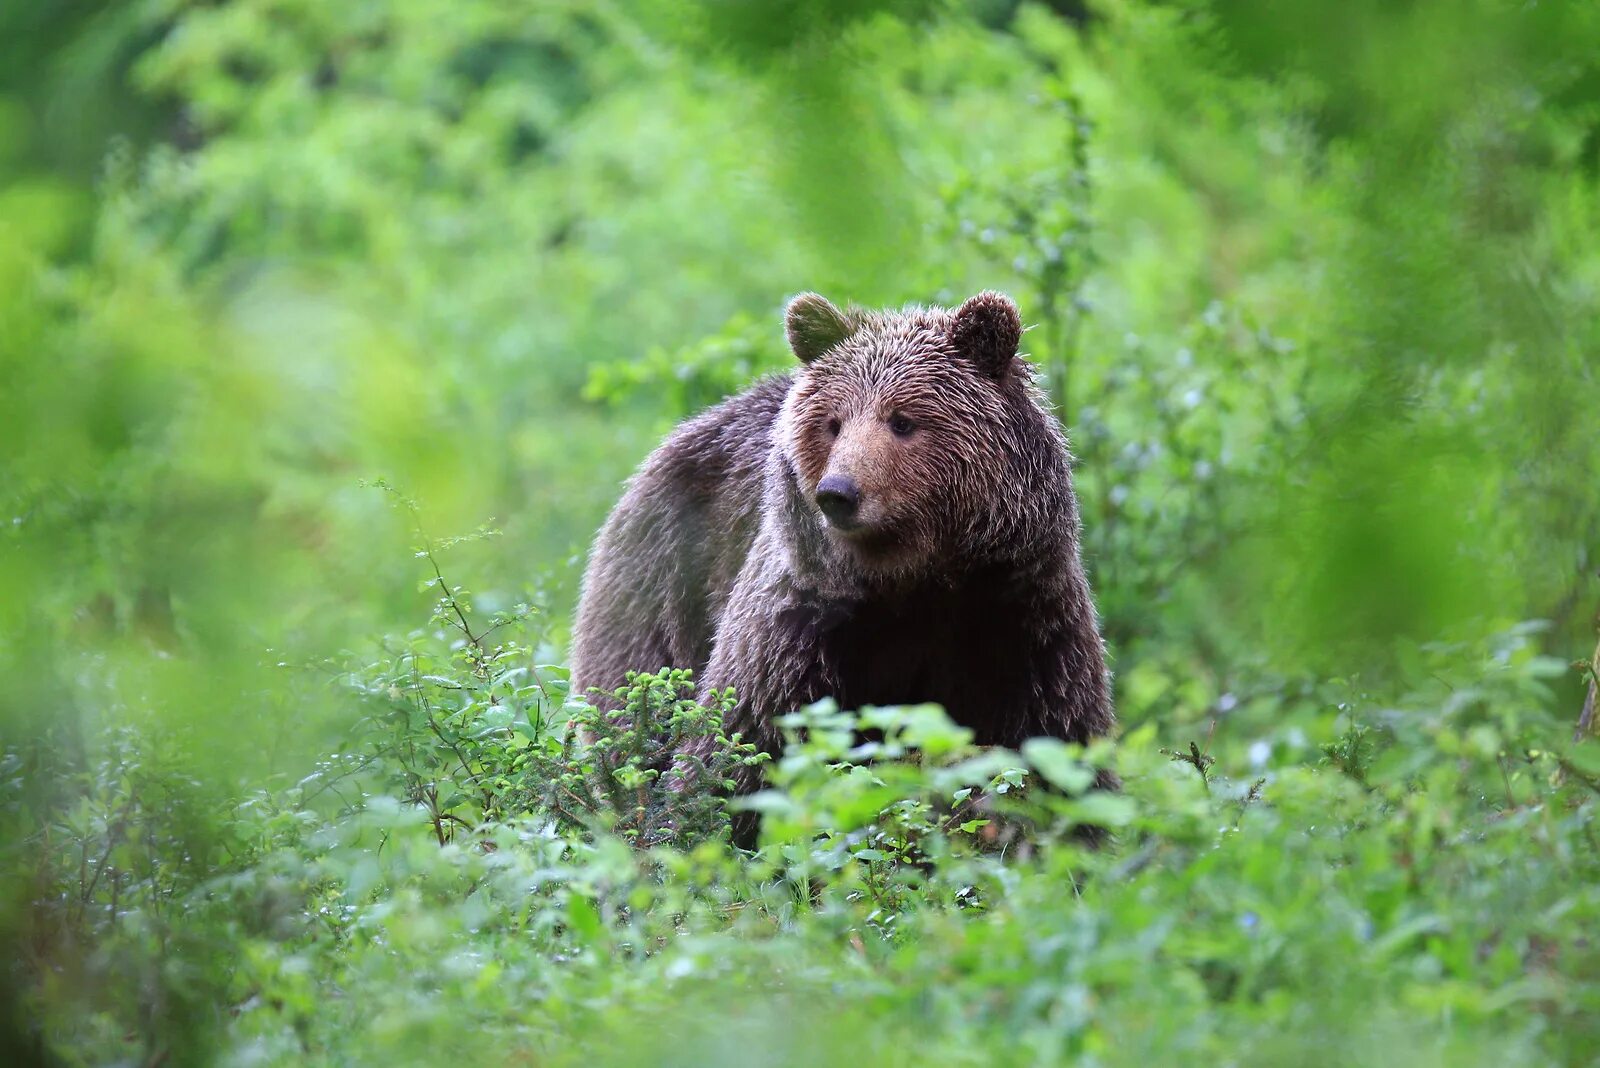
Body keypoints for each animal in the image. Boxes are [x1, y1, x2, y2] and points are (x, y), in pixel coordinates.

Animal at [572, 287, 1113, 805]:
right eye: (833, 423)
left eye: (902, 420)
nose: (837, 493)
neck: (913, 578)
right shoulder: (800, 625)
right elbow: (736, 751)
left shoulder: (1022, 616)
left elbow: (1060, 744)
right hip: (662, 591)